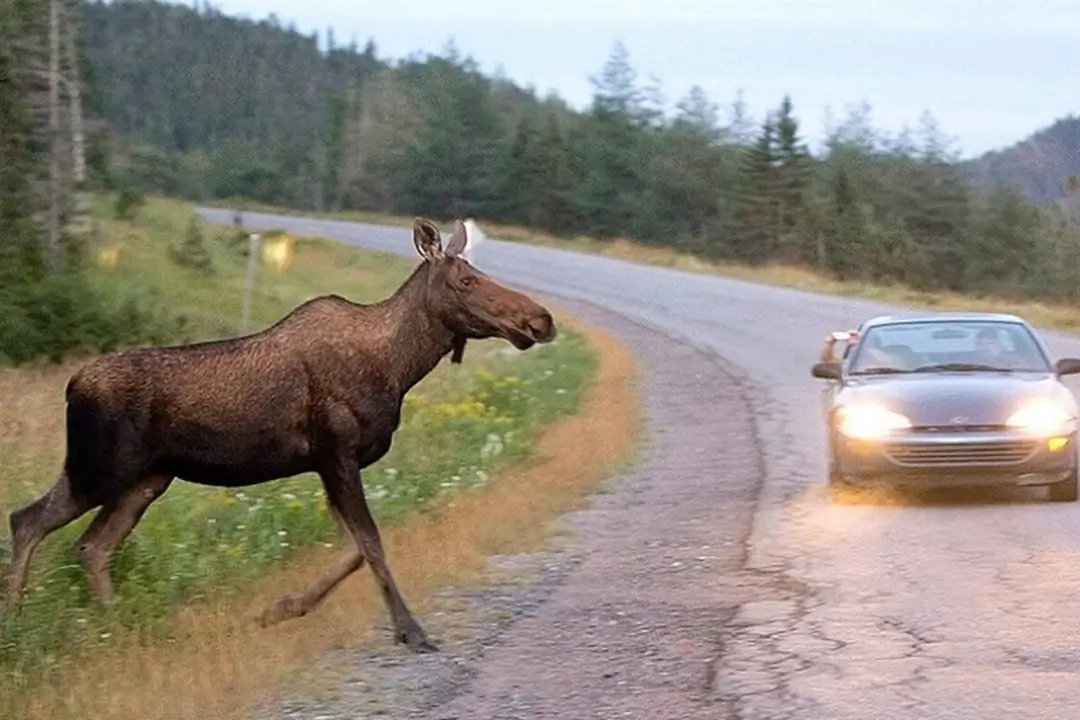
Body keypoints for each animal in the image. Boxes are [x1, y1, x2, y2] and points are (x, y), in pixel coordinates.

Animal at [2, 216, 556, 653]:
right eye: (465, 279)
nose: (541, 319)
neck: (398, 367)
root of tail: (72, 386)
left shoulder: (329, 463)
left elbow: (352, 549)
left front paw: (280, 608)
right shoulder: (337, 452)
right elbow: (371, 543)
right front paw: (411, 631)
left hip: (144, 480)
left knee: (90, 546)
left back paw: (112, 630)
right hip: (100, 468)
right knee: (29, 520)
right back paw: (18, 624)